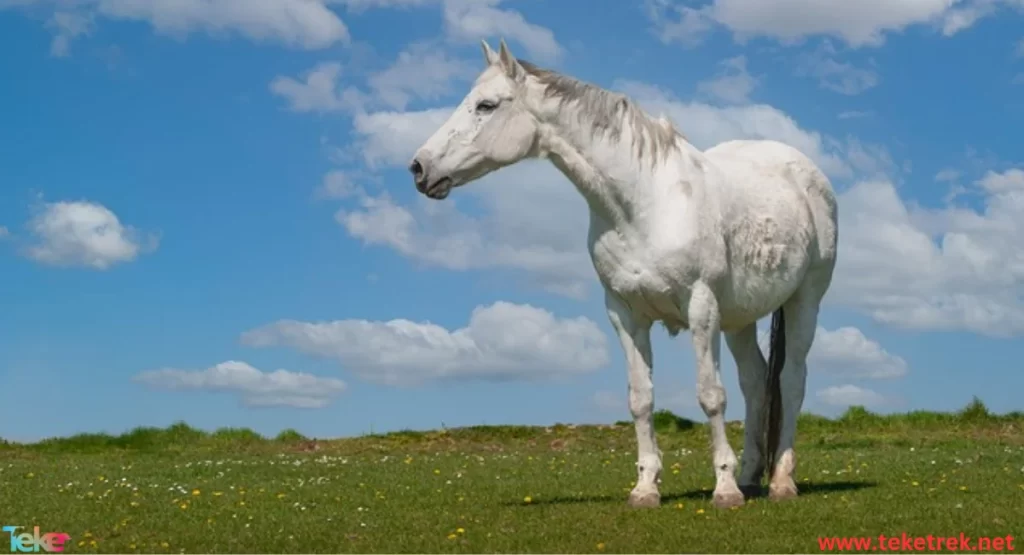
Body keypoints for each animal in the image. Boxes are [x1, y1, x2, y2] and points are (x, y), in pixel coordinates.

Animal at [409, 38, 839, 509]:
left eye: (485, 105)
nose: (419, 167)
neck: (642, 204)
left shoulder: (701, 307)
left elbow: (710, 395)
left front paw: (723, 491)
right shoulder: (624, 314)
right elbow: (641, 399)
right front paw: (646, 488)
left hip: (804, 302)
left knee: (791, 381)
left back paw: (780, 481)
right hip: (739, 320)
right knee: (757, 383)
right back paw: (749, 478)